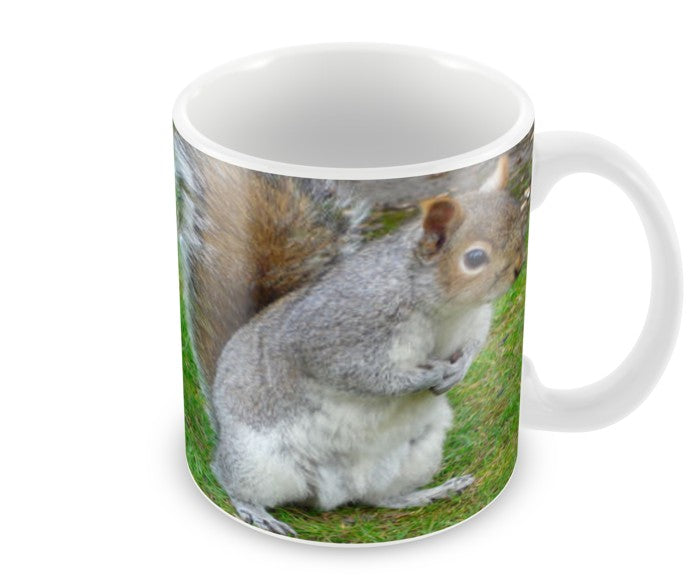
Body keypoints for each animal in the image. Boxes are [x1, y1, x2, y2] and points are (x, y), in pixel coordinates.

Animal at [175, 131, 527, 536]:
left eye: (518, 232)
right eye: (474, 258)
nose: (517, 270)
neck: (443, 311)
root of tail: (338, 491)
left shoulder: (474, 319)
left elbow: (473, 344)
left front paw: (458, 368)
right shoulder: (337, 330)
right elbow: (359, 374)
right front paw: (423, 376)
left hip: (419, 449)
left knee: (381, 497)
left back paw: (427, 493)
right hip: (260, 461)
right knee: (229, 478)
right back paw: (255, 510)